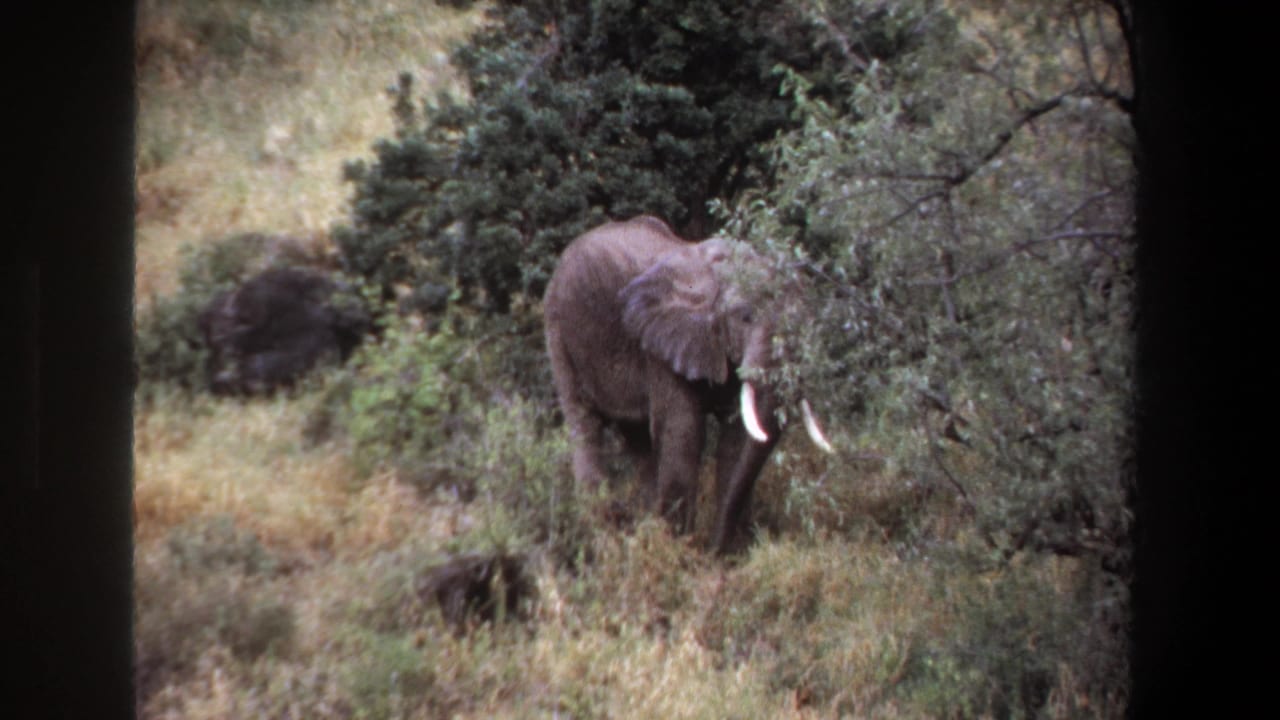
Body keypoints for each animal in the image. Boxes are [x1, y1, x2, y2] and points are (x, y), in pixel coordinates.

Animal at [544, 215, 832, 554]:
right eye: (745, 317)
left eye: (807, 321)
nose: (713, 551)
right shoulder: (660, 344)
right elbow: (684, 432)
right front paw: (681, 551)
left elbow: (736, 438)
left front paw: (725, 554)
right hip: (559, 330)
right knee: (584, 424)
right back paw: (601, 534)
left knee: (638, 439)